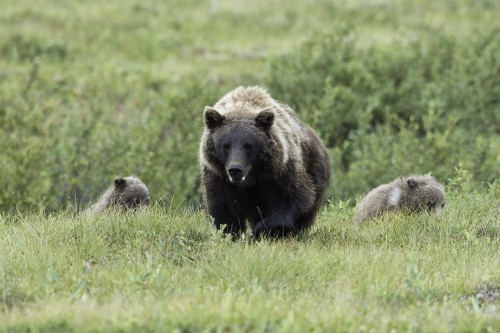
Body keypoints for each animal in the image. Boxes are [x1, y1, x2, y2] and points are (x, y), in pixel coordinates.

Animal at [199, 85, 332, 236]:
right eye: (226, 145)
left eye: (248, 145)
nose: (235, 169)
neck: (251, 179)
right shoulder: (218, 176)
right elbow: (224, 210)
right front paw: (232, 233)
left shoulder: (281, 172)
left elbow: (295, 198)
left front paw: (259, 231)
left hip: (315, 166)